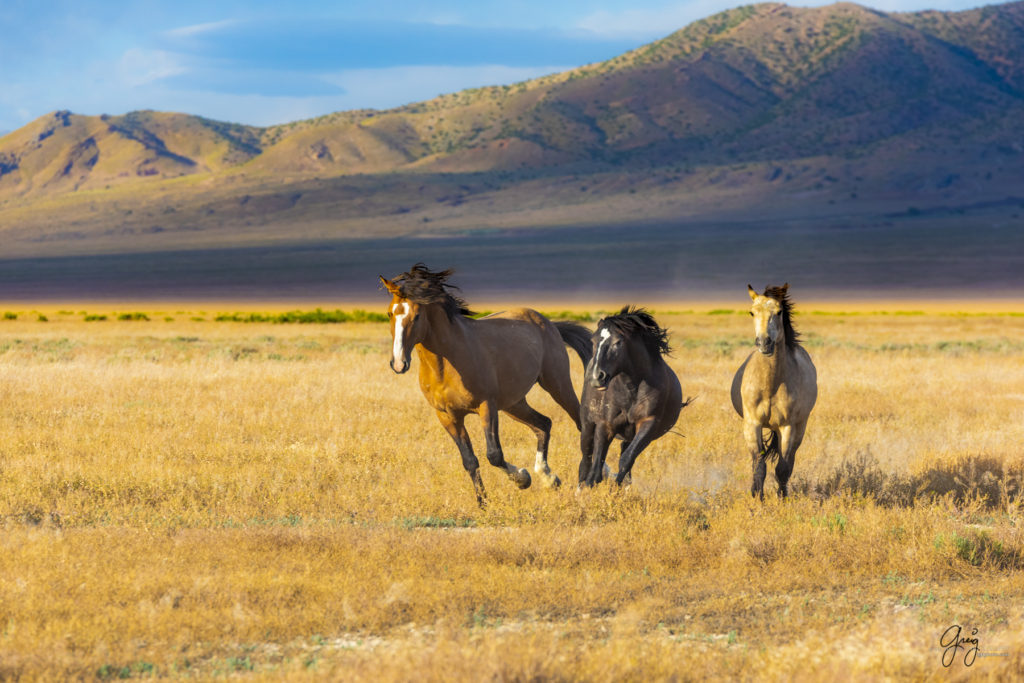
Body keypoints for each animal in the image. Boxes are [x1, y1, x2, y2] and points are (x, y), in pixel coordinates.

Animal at [380, 264, 593, 505]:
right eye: (389, 313)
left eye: (417, 316)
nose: (399, 363)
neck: (446, 365)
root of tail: (547, 322)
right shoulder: (447, 416)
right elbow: (469, 460)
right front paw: (483, 502)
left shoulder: (486, 407)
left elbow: (494, 455)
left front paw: (522, 479)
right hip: (513, 403)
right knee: (543, 424)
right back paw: (549, 478)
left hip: (557, 384)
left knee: (581, 424)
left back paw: (594, 479)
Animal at [577, 307, 688, 489]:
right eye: (593, 341)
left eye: (618, 342)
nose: (597, 377)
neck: (631, 390)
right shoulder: (606, 424)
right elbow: (596, 465)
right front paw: (592, 488)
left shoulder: (648, 423)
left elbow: (626, 460)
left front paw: (615, 490)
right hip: (587, 425)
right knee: (585, 459)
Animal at [733, 282, 819, 497]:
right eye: (752, 312)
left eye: (779, 312)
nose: (765, 343)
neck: (771, 385)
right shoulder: (752, 424)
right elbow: (759, 466)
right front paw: (757, 497)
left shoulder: (787, 426)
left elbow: (782, 469)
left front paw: (782, 498)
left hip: (798, 428)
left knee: (790, 461)